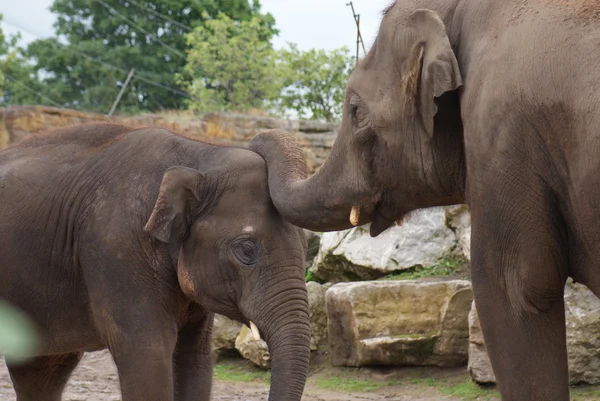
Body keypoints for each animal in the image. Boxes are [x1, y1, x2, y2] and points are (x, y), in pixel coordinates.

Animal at [0, 122, 310, 400]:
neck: (199, 155)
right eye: (246, 250)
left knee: (40, 373)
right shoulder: (116, 248)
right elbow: (147, 357)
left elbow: (195, 361)